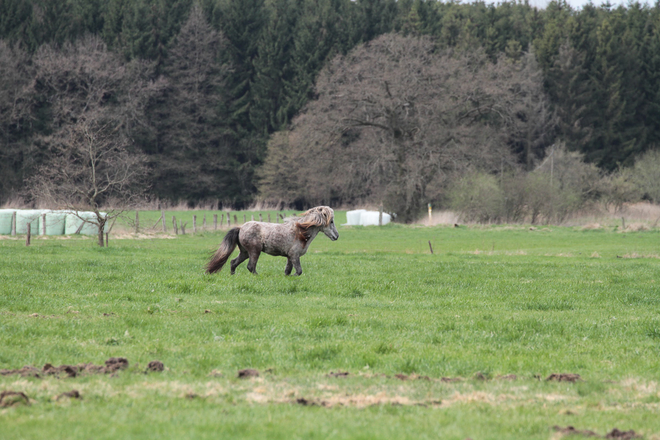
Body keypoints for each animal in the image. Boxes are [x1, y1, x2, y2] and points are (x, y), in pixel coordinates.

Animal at [206, 206, 340, 276]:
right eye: (331, 221)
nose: (337, 236)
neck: (301, 232)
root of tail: (240, 228)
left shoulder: (290, 257)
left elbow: (288, 271)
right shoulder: (294, 255)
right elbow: (299, 271)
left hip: (245, 252)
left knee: (233, 262)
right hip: (254, 251)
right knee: (250, 266)